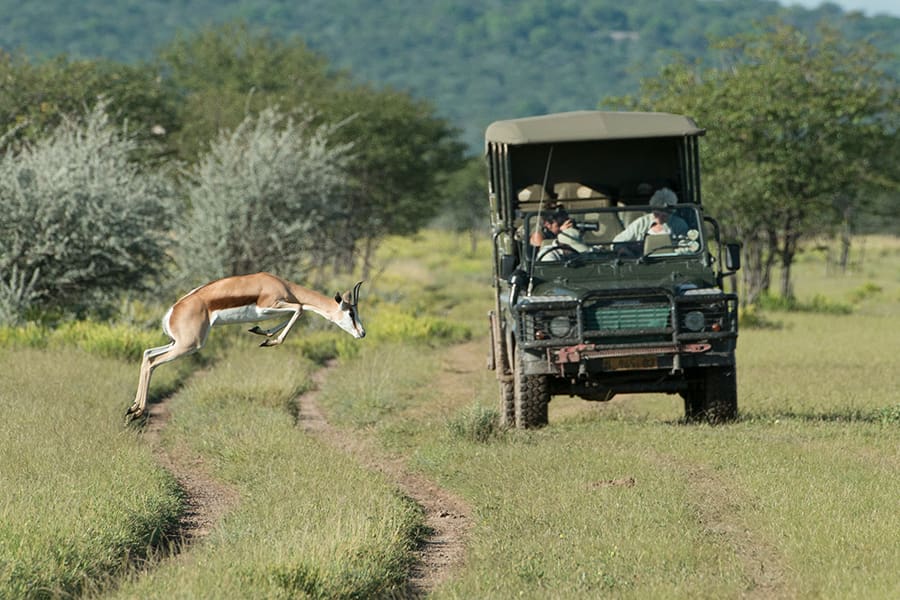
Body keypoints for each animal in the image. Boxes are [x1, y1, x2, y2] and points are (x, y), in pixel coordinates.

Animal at [126, 272, 365, 423]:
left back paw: (133, 409)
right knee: (154, 362)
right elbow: (299, 308)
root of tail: (173, 310)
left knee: (147, 355)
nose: (362, 333)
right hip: (189, 345)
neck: (280, 284)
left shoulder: (273, 310)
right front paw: (270, 340)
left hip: (177, 343)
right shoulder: (270, 305)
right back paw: (137, 411)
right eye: (351, 313)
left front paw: (262, 333)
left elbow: (297, 310)